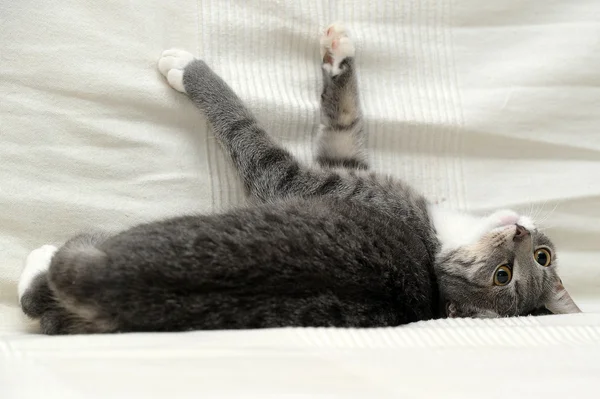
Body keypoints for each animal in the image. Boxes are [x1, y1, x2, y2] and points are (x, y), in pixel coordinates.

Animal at [19, 22, 580, 334]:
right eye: (541, 257)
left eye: (505, 276)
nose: (520, 232)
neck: (438, 236)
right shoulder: (348, 161)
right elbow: (344, 121)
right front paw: (338, 50)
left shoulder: (294, 183)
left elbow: (244, 127)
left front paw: (185, 68)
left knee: (40, 294)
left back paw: (37, 260)